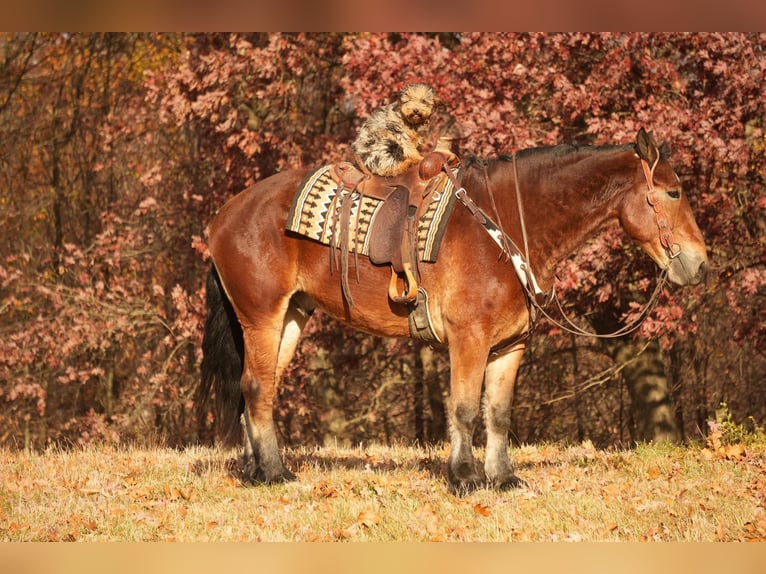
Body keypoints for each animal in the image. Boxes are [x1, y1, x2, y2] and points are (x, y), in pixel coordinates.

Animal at [198, 129, 708, 496]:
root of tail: (223, 215)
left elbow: (497, 412)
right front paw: (464, 477)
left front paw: (503, 478)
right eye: (674, 192)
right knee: (256, 387)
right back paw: (275, 473)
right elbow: (463, 408)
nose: (701, 264)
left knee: (256, 390)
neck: (504, 227)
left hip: (290, 318)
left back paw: (255, 469)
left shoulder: (509, 346)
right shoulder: (469, 339)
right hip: (262, 318)